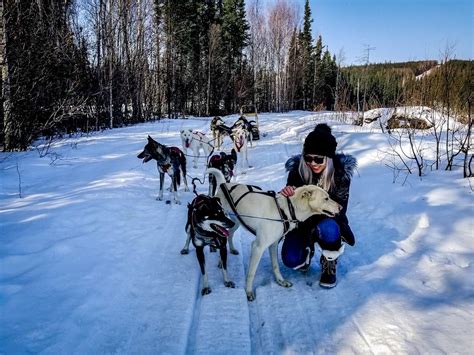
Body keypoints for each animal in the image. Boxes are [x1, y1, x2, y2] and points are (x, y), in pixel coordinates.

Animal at [206, 168, 342, 302]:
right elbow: (251, 273)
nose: (341, 207)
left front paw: (280, 281)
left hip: (236, 223)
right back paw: (221, 261)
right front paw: (249, 292)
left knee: (229, 235)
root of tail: (224, 184)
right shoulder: (258, 247)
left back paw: (231, 250)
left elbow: (275, 266)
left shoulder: (274, 244)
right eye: (326, 198)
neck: (286, 210)